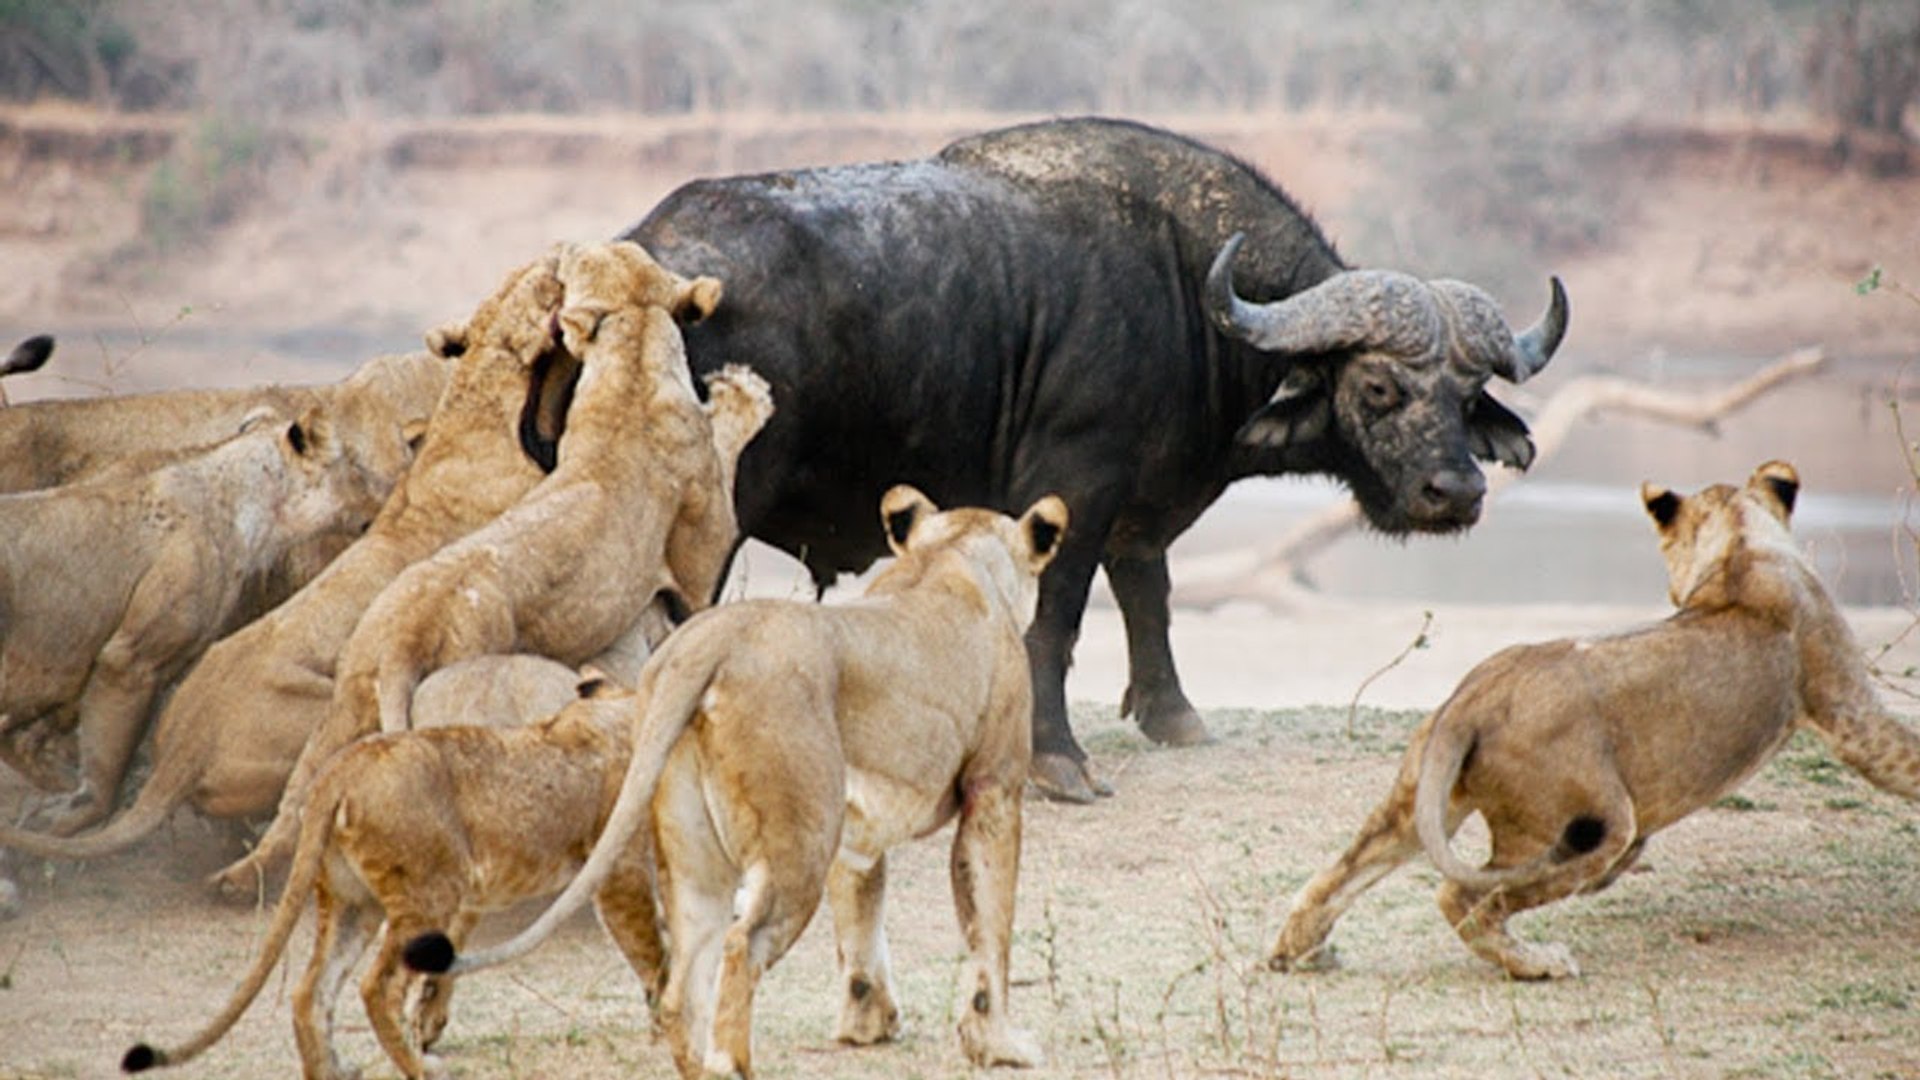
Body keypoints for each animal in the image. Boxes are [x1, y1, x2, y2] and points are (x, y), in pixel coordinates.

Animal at [614, 117, 1559, 799]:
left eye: (1469, 395)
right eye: (1378, 388)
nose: (1456, 490)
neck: (1185, 290)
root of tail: (641, 263)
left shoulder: (1139, 512)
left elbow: (1150, 597)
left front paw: (1173, 716)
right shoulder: (1077, 483)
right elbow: (1058, 619)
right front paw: (1057, 759)